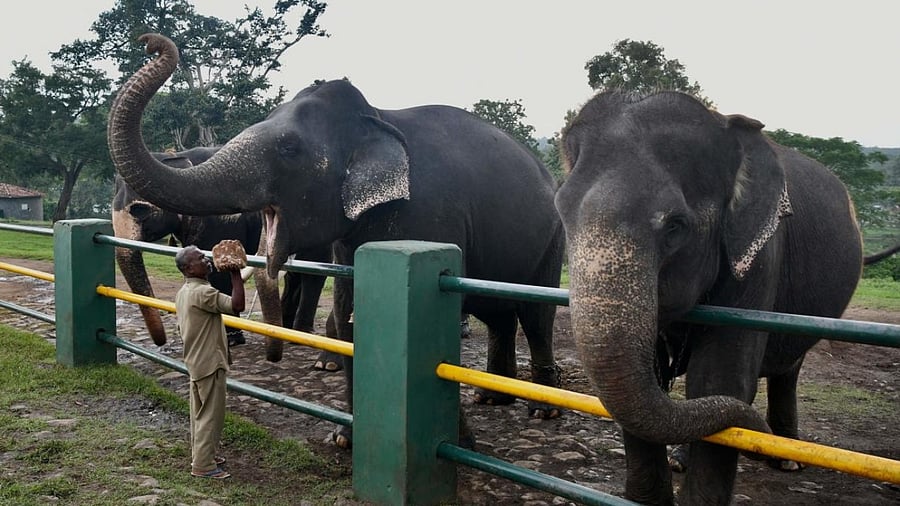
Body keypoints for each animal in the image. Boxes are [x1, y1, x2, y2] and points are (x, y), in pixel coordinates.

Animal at [107, 33, 565, 448]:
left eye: (289, 148)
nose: (150, 42)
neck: (376, 116)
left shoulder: (430, 215)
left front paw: (460, 446)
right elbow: (350, 315)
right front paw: (344, 439)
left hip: (553, 238)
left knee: (535, 313)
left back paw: (541, 409)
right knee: (499, 312)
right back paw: (492, 398)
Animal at [554, 90, 863, 505]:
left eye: (675, 226)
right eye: (561, 212)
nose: (760, 437)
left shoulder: (761, 254)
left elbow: (720, 380)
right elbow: (648, 380)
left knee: (787, 369)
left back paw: (787, 459)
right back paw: (684, 460)